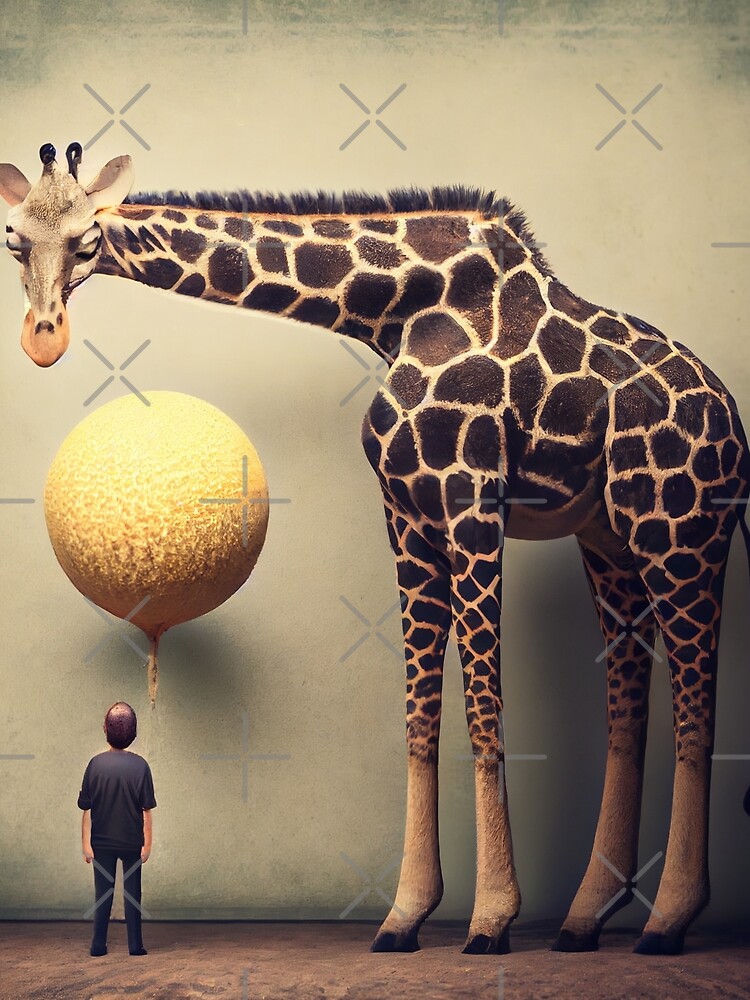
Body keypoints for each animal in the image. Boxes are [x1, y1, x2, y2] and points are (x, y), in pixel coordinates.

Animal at [2, 143, 749, 955]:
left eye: (86, 241)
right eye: (15, 240)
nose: (43, 338)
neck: (391, 310)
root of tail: (735, 426)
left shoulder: (469, 493)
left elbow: (483, 707)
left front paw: (490, 920)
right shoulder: (406, 512)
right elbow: (419, 716)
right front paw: (406, 915)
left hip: (679, 528)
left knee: (696, 703)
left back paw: (668, 920)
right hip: (610, 538)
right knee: (629, 704)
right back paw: (584, 920)